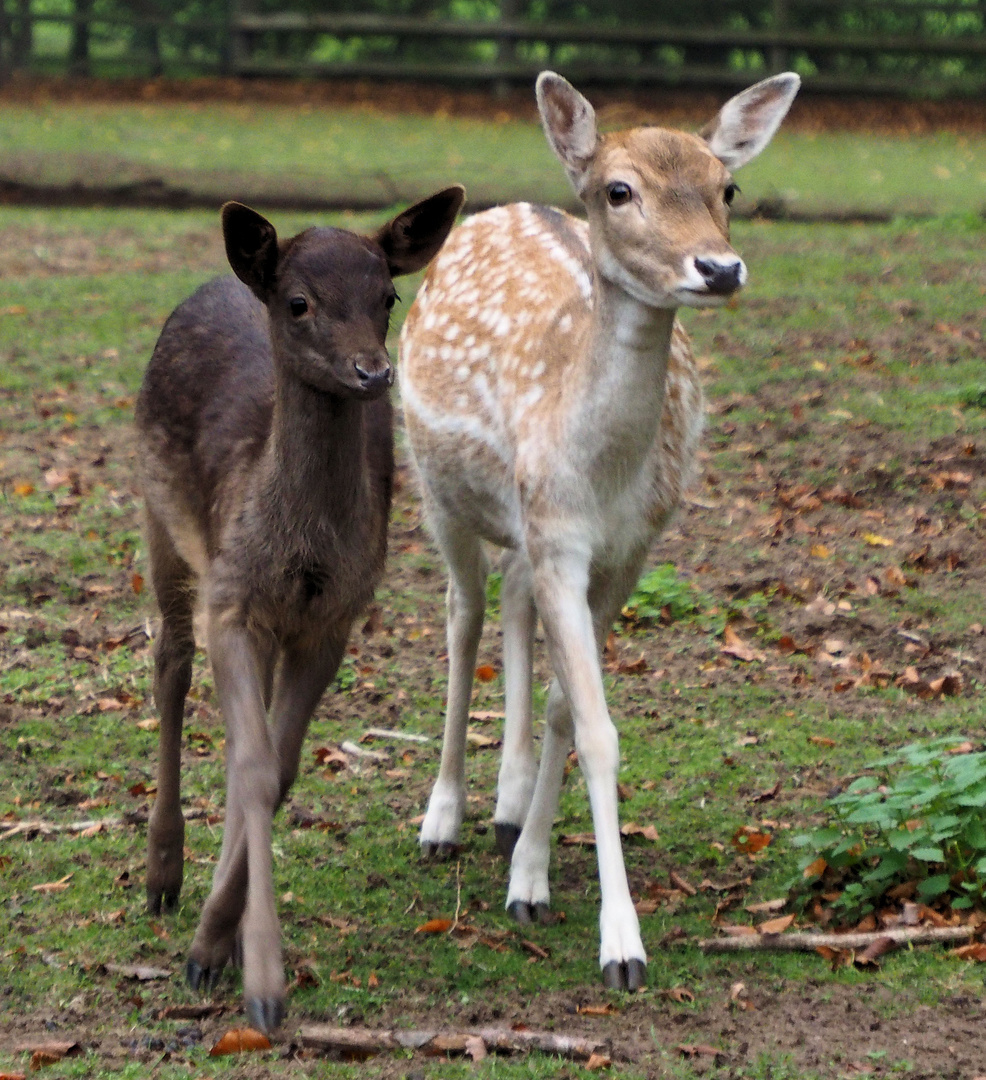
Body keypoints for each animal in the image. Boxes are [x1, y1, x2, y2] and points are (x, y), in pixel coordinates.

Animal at [133, 185, 466, 1028]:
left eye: (387, 295)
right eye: (299, 302)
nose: (373, 372)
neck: (300, 555)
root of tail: (222, 278)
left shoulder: (334, 618)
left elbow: (276, 772)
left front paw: (220, 948)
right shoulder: (233, 596)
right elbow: (252, 766)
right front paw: (254, 982)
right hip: (158, 517)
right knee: (169, 663)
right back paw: (161, 877)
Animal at [395, 73, 794, 989]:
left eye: (728, 189)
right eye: (620, 191)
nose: (718, 267)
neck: (600, 474)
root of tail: (502, 206)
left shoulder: (624, 552)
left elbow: (568, 710)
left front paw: (530, 878)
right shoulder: (560, 540)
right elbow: (601, 728)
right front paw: (621, 946)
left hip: (522, 527)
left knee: (508, 601)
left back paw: (507, 805)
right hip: (436, 490)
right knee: (462, 613)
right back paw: (443, 817)